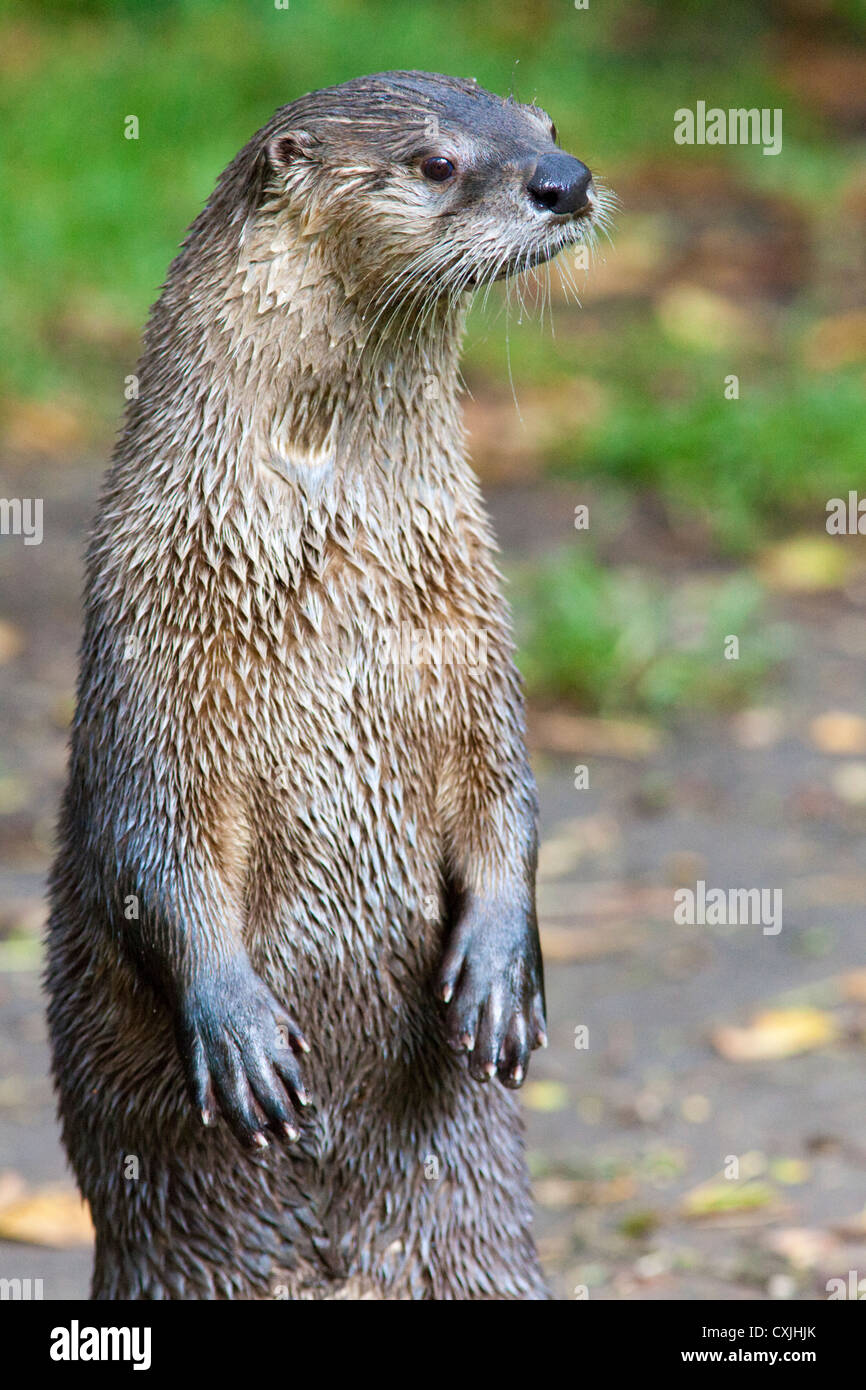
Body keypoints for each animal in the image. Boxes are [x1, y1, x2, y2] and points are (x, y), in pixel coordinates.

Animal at [45, 70, 608, 1295]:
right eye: (436, 162)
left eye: (545, 123)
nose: (567, 181)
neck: (326, 575)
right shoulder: (150, 663)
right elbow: (153, 848)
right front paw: (239, 1027)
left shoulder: (469, 642)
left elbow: (507, 796)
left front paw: (501, 969)